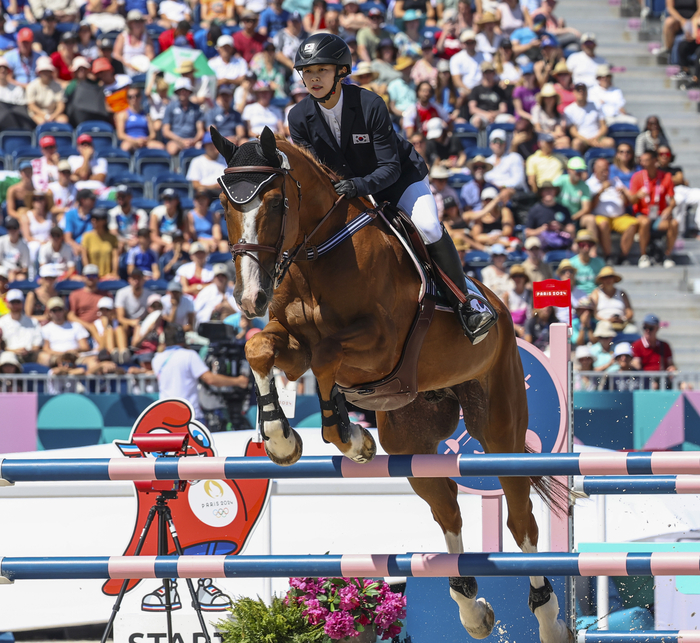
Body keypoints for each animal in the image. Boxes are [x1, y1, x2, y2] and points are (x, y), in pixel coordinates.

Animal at [211, 124, 572, 643]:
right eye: (224, 205)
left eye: (277, 203)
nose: (249, 297)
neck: (315, 255)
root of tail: (501, 308)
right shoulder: (289, 337)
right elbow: (260, 348)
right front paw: (283, 440)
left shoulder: (378, 343)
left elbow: (327, 357)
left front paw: (348, 436)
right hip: (410, 439)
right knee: (447, 508)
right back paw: (472, 610)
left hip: (499, 426)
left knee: (521, 517)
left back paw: (548, 618)